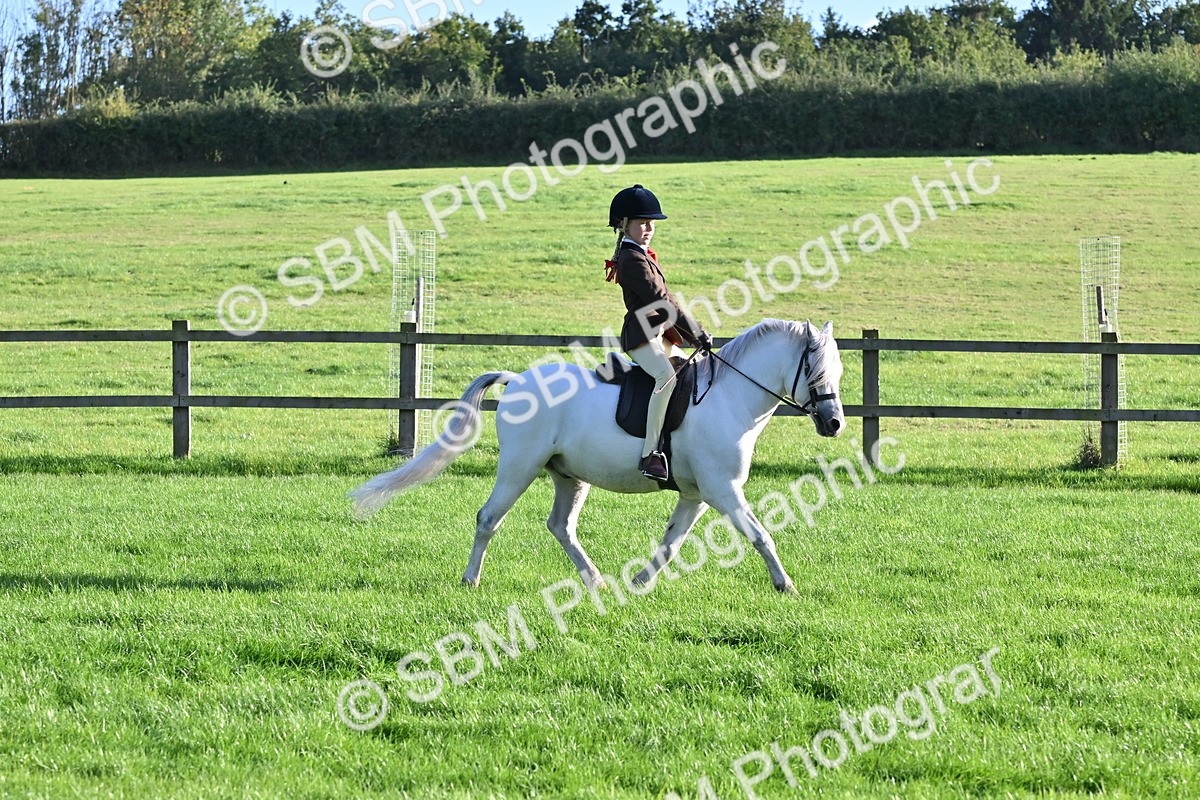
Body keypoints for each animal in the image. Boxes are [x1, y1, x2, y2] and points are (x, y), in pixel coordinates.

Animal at [350, 319, 846, 593]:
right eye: (815, 369)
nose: (835, 423)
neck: (729, 396)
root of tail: (518, 379)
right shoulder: (724, 492)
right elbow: (761, 536)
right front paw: (785, 585)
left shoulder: (696, 495)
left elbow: (670, 542)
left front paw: (641, 582)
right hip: (519, 468)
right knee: (488, 518)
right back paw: (471, 580)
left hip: (569, 476)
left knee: (560, 526)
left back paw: (595, 579)